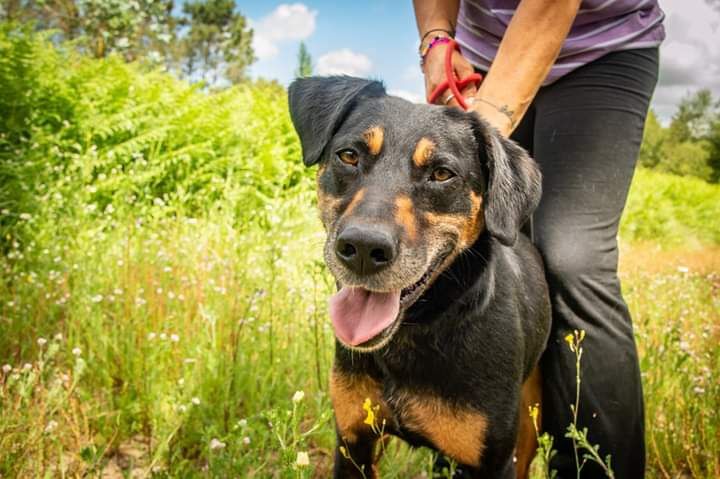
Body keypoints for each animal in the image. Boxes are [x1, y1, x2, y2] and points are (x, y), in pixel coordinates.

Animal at [286, 77, 552, 478]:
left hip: (530, 420)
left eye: (441, 174)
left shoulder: (493, 461)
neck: (418, 330)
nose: (363, 248)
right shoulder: (353, 442)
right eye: (348, 156)